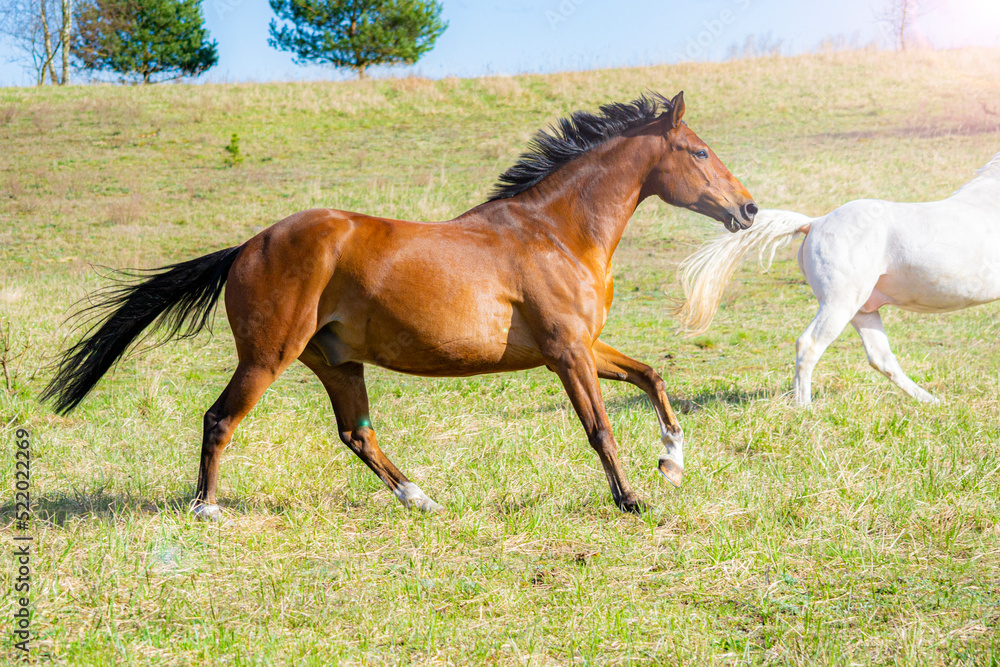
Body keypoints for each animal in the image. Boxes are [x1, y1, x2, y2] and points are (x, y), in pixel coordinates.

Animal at [43, 92, 757, 519]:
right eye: (699, 151)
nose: (748, 209)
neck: (555, 231)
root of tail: (248, 245)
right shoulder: (566, 352)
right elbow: (600, 427)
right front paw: (632, 498)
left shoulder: (581, 345)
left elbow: (652, 377)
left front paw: (672, 462)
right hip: (267, 357)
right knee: (220, 419)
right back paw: (207, 508)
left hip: (335, 361)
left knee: (356, 433)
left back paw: (421, 497)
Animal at [676, 150, 1000, 407]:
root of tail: (814, 223)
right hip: (840, 303)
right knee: (809, 344)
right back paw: (804, 408)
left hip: (863, 309)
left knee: (881, 357)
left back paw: (930, 401)